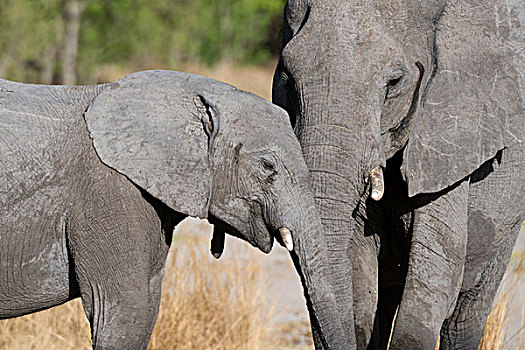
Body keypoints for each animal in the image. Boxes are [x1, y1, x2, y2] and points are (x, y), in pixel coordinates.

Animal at [272, 0, 520, 350]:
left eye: (394, 82)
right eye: (288, 79)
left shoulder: (449, 135)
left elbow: (439, 267)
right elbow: (360, 285)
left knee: (466, 313)